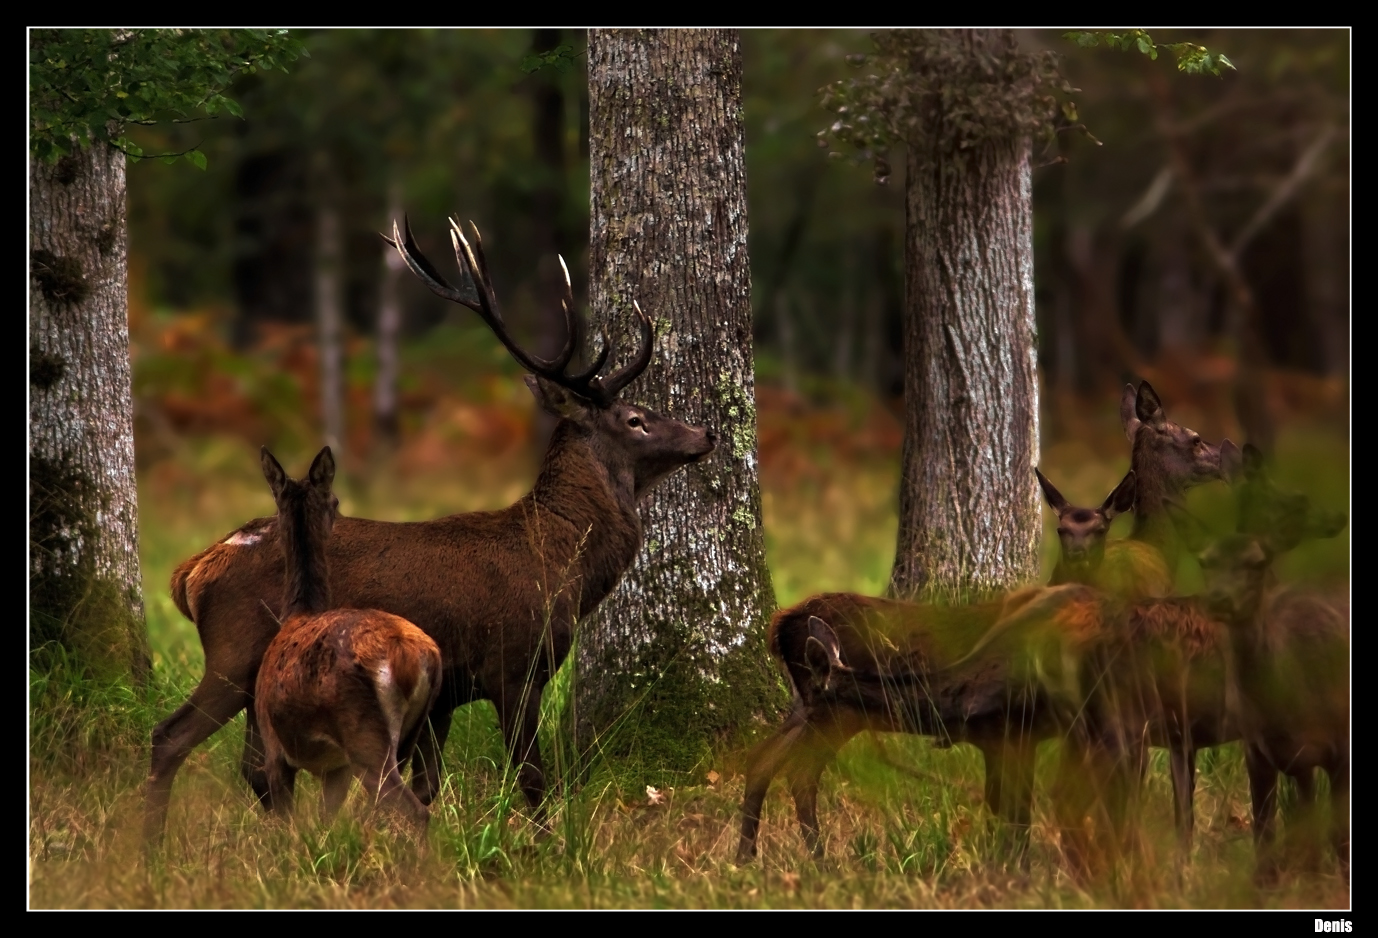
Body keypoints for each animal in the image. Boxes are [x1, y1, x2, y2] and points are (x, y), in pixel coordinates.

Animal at [250, 446, 438, 826]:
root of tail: (410, 654)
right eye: (335, 500)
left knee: (414, 811)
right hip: (410, 731)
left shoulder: (274, 748)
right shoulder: (336, 768)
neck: (296, 615)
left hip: (365, 735)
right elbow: (327, 821)